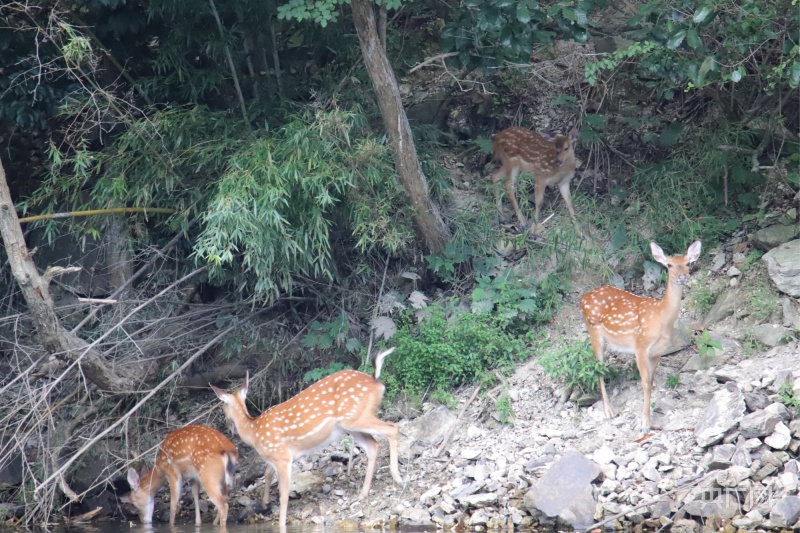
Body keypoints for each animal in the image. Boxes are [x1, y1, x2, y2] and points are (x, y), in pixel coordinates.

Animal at [211, 348, 404, 528]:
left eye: (222, 406)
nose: (229, 428)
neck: (254, 432)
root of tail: (375, 378)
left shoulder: (281, 456)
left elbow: (283, 495)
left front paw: (281, 523)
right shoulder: (276, 456)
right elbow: (267, 473)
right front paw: (265, 503)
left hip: (355, 417)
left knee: (392, 428)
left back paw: (397, 478)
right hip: (351, 424)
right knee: (373, 445)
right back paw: (363, 493)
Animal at [580, 241, 700, 432]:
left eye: (688, 263)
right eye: (669, 265)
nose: (682, 276)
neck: (661, 318)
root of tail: (582, 298)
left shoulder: (658, 352)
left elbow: (650, 382)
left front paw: (648, 420)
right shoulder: (641, 346)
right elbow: (644, 383)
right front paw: (644, 424)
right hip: (593, 331)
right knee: (599, 369)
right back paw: (608, 411)